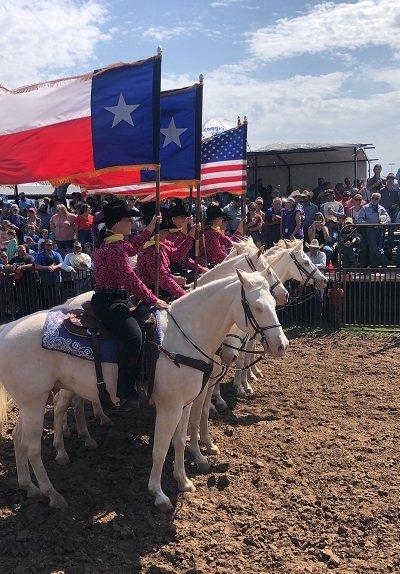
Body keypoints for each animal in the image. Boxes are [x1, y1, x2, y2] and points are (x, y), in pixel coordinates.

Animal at [0, 272, 288, 512]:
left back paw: (29, 487)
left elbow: (180, 441)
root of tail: (6, 330)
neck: (182, 338)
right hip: (35, 403)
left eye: (273, 303)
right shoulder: (169, 407)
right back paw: (53, 493)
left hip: (31, 403)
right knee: (33, 447)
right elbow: (160, 448)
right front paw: (159, 495)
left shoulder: (184, 405)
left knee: (18, 437)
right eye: (257, 307)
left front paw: (184, 480)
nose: (281, 345)